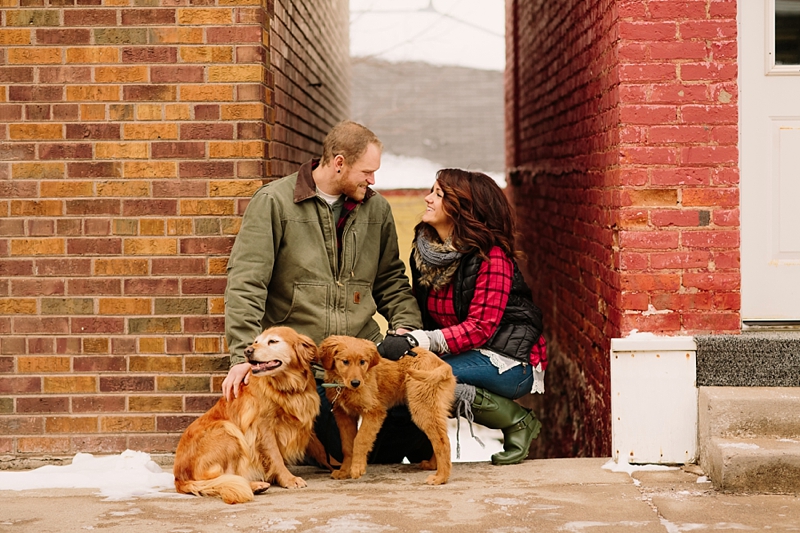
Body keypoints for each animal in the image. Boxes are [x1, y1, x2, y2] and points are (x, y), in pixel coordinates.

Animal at [173, 324, 328, 502]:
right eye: (256, 341)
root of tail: (179, 479)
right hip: (228, 430)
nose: (247, 351)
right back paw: (254, 485)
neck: (286, 387)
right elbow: (276, 456)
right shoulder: (263, 428)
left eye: (273, 341)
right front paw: (288, 479)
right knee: (223, 477)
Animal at [318, 334, 456, 484]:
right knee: (441, 437)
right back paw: (432, 465)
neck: (343, 386)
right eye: (345, 362)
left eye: (362, 362)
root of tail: (442, 364)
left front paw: (357, 468)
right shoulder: (344, 415)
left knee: (442, 441)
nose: (356, 383)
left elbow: (360, 439)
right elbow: (347, 445)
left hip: (422, 406)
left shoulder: (374, 411)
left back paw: (440, 477)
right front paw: (344, 471)